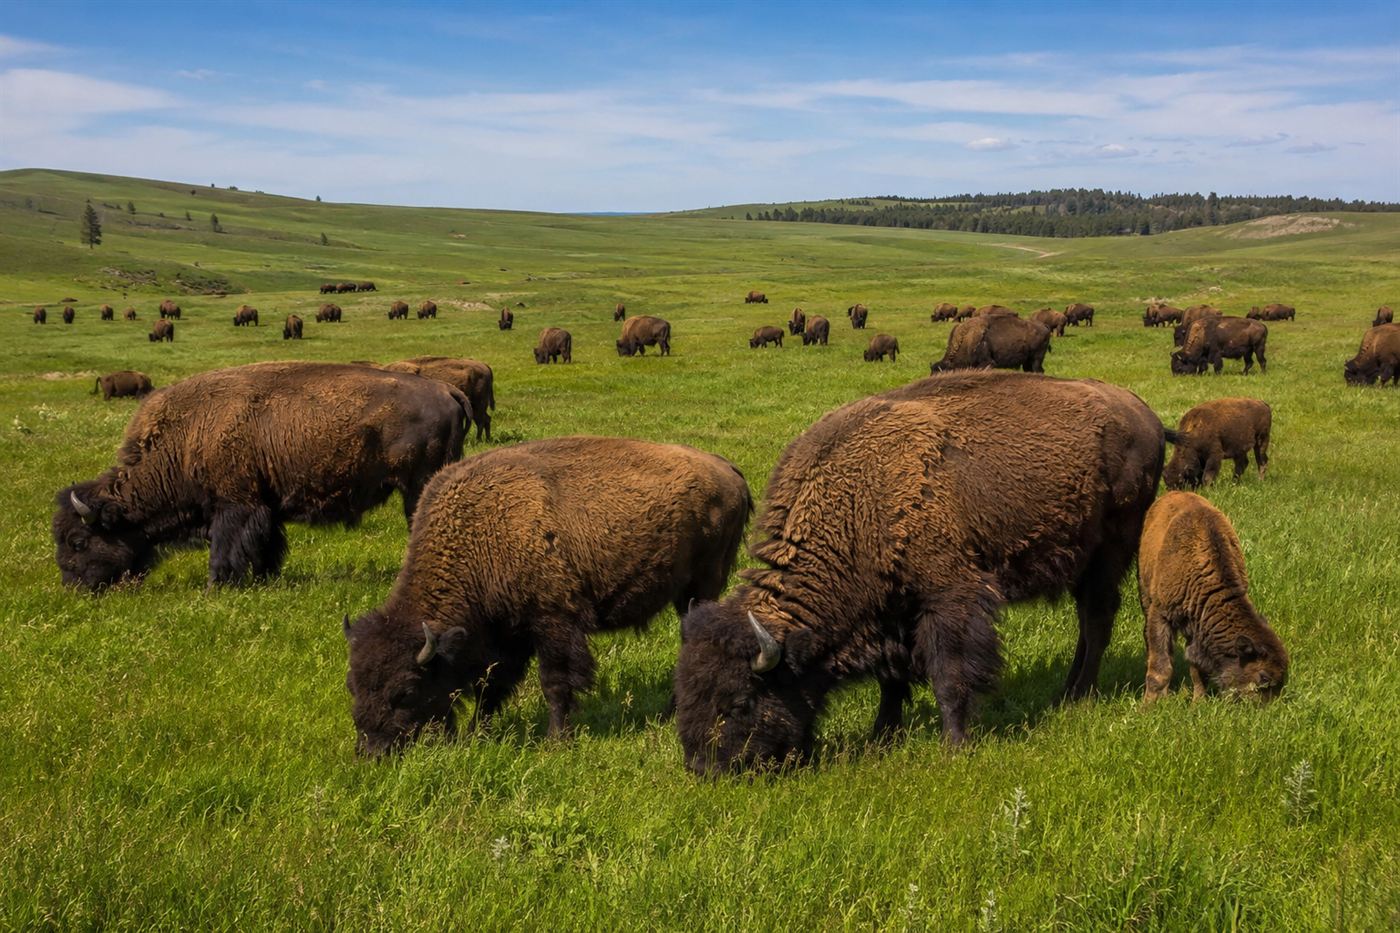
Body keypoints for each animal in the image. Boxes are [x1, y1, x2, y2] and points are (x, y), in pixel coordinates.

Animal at [54, 362, 470, 591]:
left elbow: (226, 548)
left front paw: (216, 587)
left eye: (78, 541)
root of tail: (446, 389)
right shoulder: (265, 507)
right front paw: (266, 577)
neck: (184, 438)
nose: (74, 588)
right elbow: (268, 543)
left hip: (418, 486)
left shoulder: (234, 505)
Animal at [343, 437, 752, 756]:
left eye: (407, 690)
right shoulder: (506, 635)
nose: (371, 751)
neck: (480, 532)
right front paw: (479, 733)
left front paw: (557, 741)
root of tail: (729, 470)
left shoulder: (554, 623)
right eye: (352, 685)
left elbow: (555, 683)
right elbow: (491, 685)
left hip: (701, 586)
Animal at [673, 371, 1166, 773]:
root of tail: (1143, 411)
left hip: (1110, 550)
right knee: (1087, 620)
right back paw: (1065, 692)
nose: (705, 768)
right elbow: (892, 679)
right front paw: (882, 738)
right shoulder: (889, 613)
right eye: (685, 693)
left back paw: (1078, 697)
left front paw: (954, 748)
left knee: (1097, 619)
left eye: (740, 701)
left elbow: (948, 675)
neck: (860, 501)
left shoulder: (949, 599)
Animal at [1138, 492, 1288, 702]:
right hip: (1146, 596)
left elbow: (1197, 670)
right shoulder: (1161, 614)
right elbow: (1160, 668)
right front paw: (1149, 706)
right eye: (1263, 677)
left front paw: (1198, 703)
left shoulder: (1196, 628)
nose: (1268, 706)